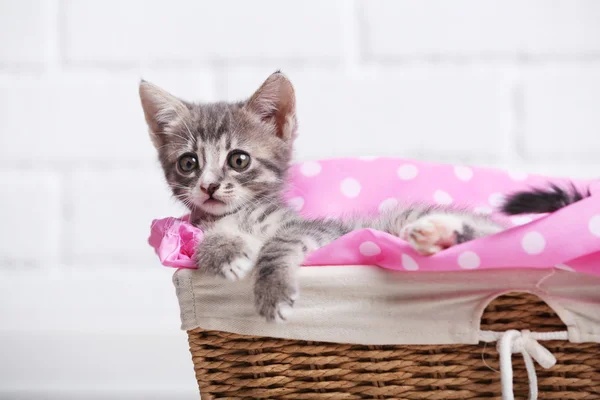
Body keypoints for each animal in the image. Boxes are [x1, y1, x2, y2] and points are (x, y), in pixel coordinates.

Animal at [139, 72, 502, 322]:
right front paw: (224, 252)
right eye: (189, 163)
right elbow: (203, 242)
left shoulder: (324, 230)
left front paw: (273, 291)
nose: (209, 186)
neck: (238, 216)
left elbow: (279, 242)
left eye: (238, 160)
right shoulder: (196, 229)